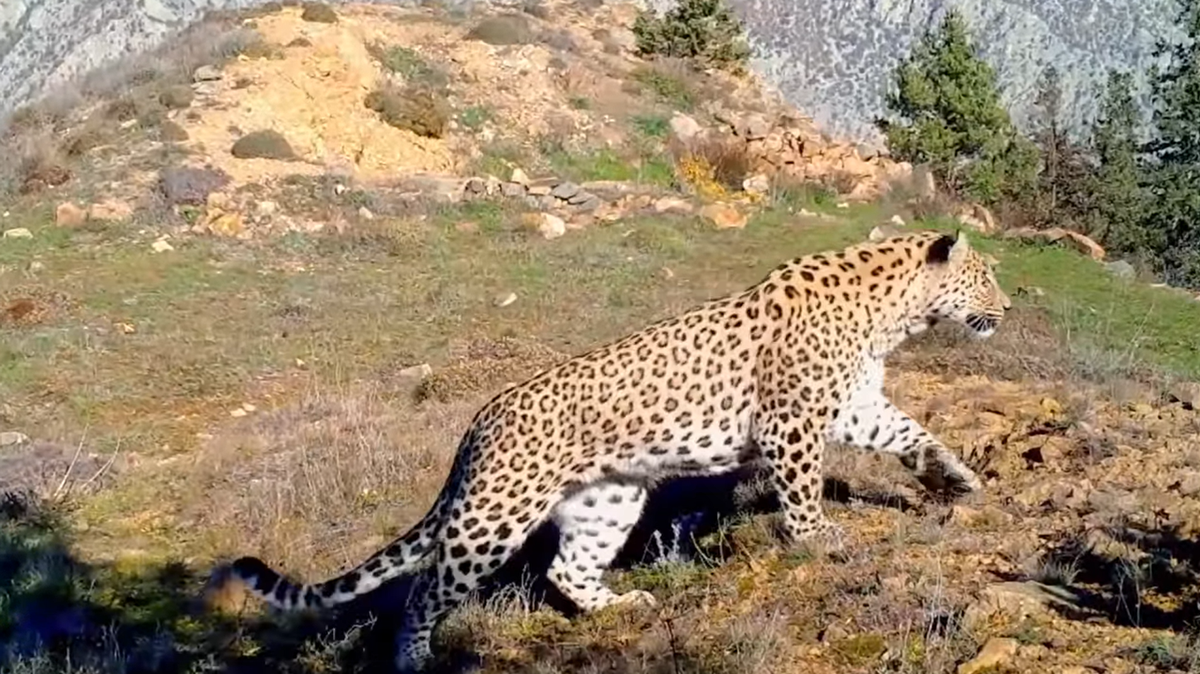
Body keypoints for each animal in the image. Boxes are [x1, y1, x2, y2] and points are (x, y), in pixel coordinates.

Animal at [220, 228, 1010, 673]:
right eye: (987, 276)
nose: (1006, 309)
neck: (892, 313)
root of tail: (478, 423)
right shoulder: (792, 420)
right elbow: (803, 489)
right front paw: (820, 539)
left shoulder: (853, 406)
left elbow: (911, 434)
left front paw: (954, 477)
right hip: (493, 516)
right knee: (424, 590)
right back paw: (415, 660)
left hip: (608, 498)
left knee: (568, 569)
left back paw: (623, 607)